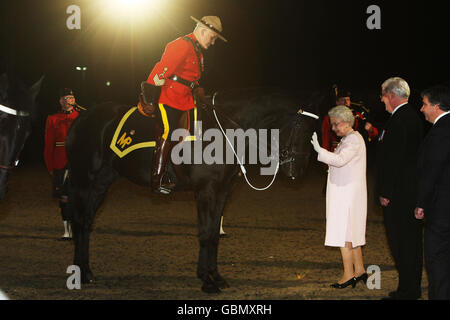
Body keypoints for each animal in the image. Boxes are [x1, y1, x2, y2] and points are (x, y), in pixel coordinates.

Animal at [66, 87, 320, 292]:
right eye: (300, 127)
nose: (298, 171)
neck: (223, 130)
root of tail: (81, 117)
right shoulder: (205, 191)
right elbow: (205, 233)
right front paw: (207, 282)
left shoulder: (221, 192)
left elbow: (214, 233)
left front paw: (215, 276)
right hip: (83, 181)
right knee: (79, 222)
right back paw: (79, 273)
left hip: (102, 182)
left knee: (86, 222)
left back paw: (87, 272)